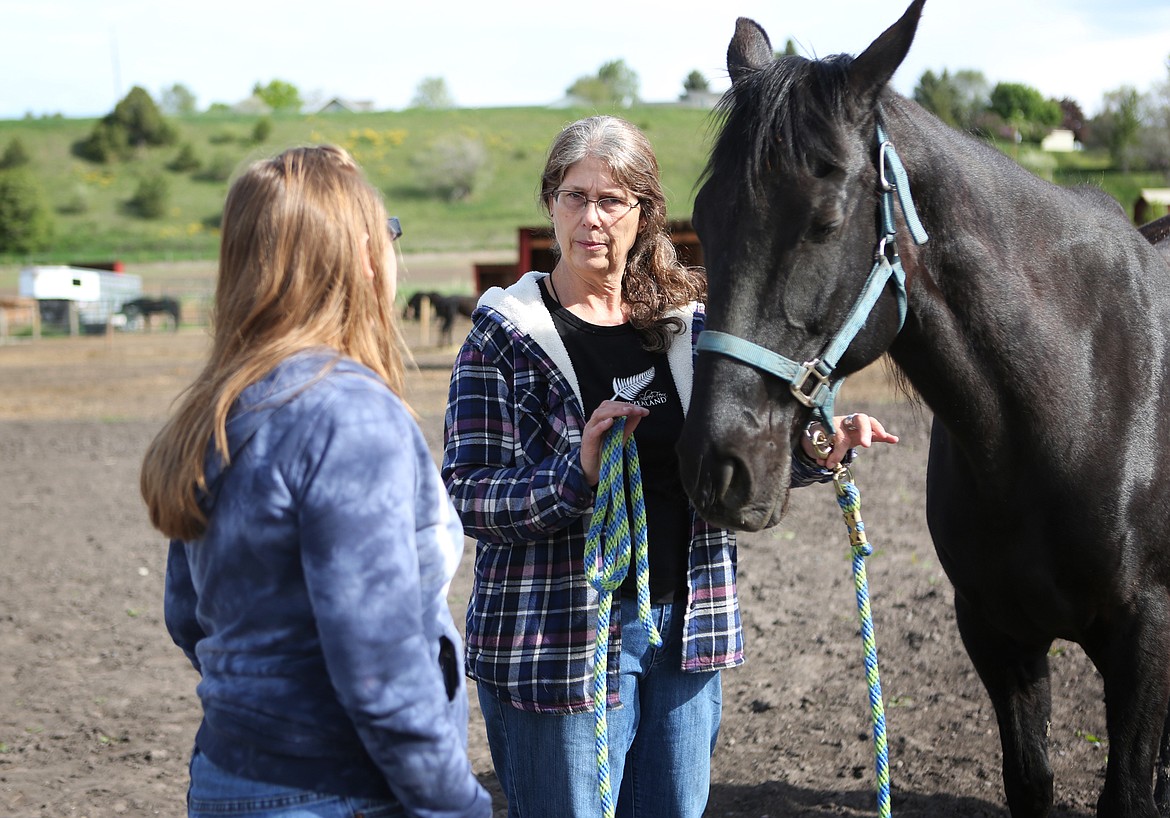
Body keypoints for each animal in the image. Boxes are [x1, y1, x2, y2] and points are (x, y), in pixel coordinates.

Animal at [678, 3, 1170, 814]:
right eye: (704, 218)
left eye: (823, 221)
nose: (717, 466)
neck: (1082, 399)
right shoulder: (997, 635)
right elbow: (1030, 780)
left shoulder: (1146, 638)